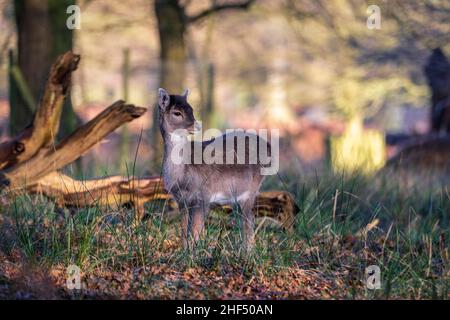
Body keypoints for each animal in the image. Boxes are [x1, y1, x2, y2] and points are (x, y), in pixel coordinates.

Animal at [157, 87, 270, 252]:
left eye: (191, 109)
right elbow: (184, 230)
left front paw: (195, 254)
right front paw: (184, 252)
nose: (197, 126)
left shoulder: (204, 195)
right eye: (177, 112)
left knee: (249, 220)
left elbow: (196, 232)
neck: (183, 176)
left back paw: (247, 253)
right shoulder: (181, 200)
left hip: (251, 190)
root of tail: (269, 147)